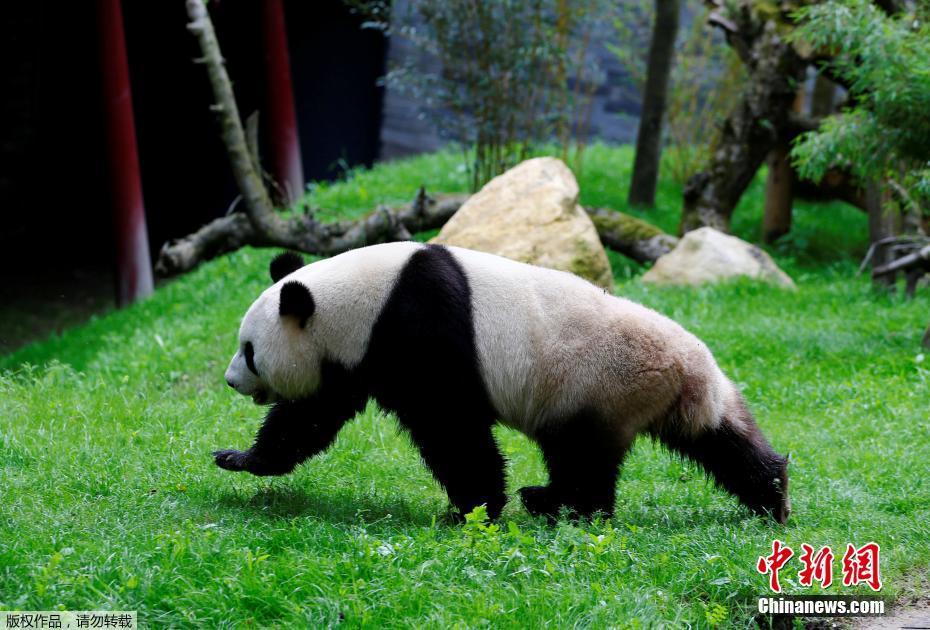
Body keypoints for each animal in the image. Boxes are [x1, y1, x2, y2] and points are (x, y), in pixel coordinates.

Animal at [218, 242, 792, 524]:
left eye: (250, 351)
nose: (230, 380)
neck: (365, 296)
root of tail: (686, 371)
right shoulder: (356, 356)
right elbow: (313, 414)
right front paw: (240, 458)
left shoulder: (417, 328)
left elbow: (451, 428)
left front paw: (473, 510)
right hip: (676, 399)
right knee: (722, 440)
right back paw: (774, 498)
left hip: (597, 384)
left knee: (580, 457)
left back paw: (553, 503)